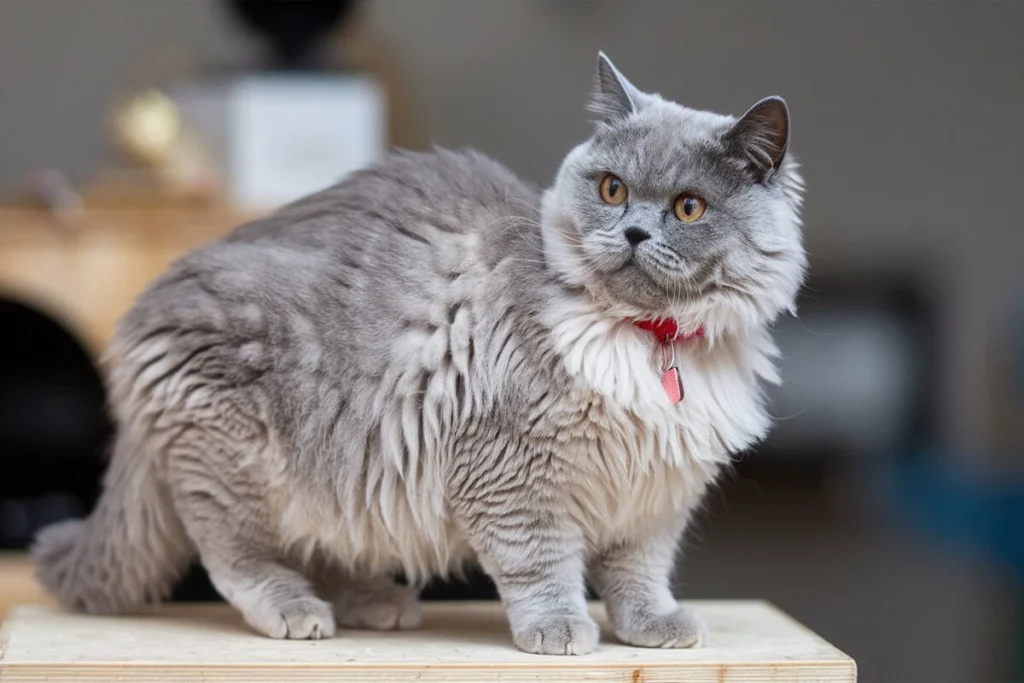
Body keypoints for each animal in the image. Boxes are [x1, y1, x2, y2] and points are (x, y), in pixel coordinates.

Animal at [32, 50, 802, 655]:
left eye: (689, 207)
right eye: (612, 189)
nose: (636, 232)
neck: (649, 340)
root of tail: (154, 297)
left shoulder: (655, 499)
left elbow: (639, 575)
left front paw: (655, 628)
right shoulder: (510, 473)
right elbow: (541, 563)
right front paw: (557, 630)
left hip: (343, 473)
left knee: (322, 544)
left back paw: (376, 602)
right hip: (237, 455)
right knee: (237, 555)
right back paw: (298, 610)